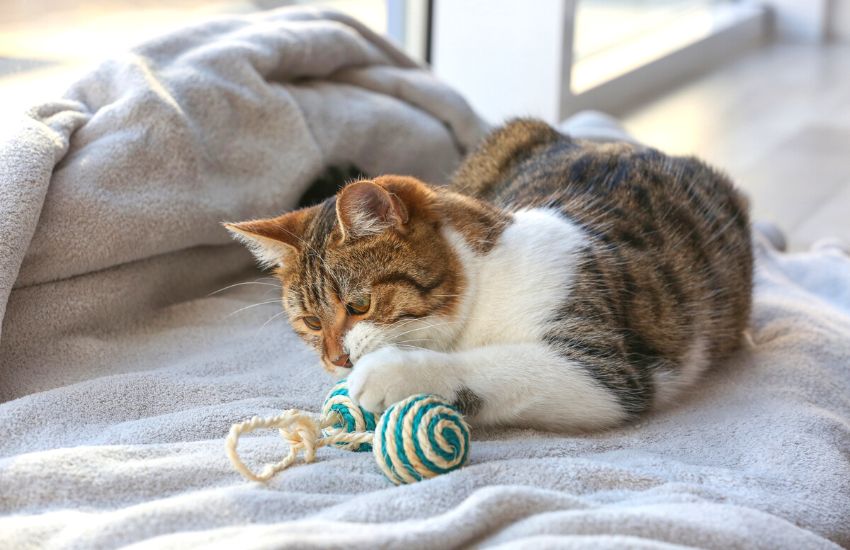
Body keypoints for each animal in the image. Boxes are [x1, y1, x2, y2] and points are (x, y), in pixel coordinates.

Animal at [224, 118, 748, 434]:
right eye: (312, 323)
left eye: (359, 305)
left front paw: (393, 374)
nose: (337, 360)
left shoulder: (604, 366)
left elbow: (507, 365)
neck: (480, 296)